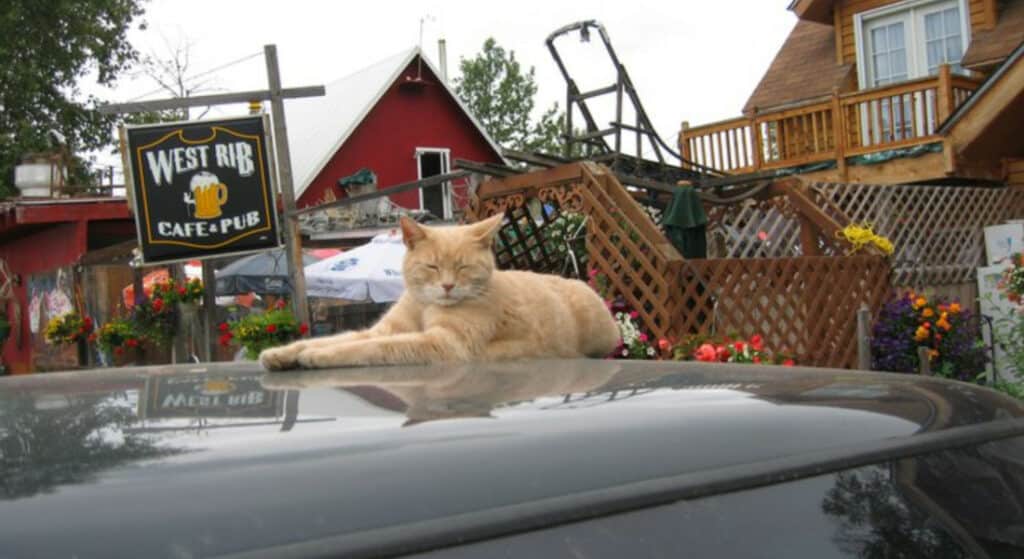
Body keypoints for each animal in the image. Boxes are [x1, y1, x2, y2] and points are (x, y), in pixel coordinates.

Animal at [260, 213, 618, 370]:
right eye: (432, 266)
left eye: (462, 267)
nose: (447, 285)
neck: (424, 306)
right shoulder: (384, 328)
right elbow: (333, 338)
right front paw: (282, 353)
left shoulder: (444, 344)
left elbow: (370, 347)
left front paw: (318, 356)